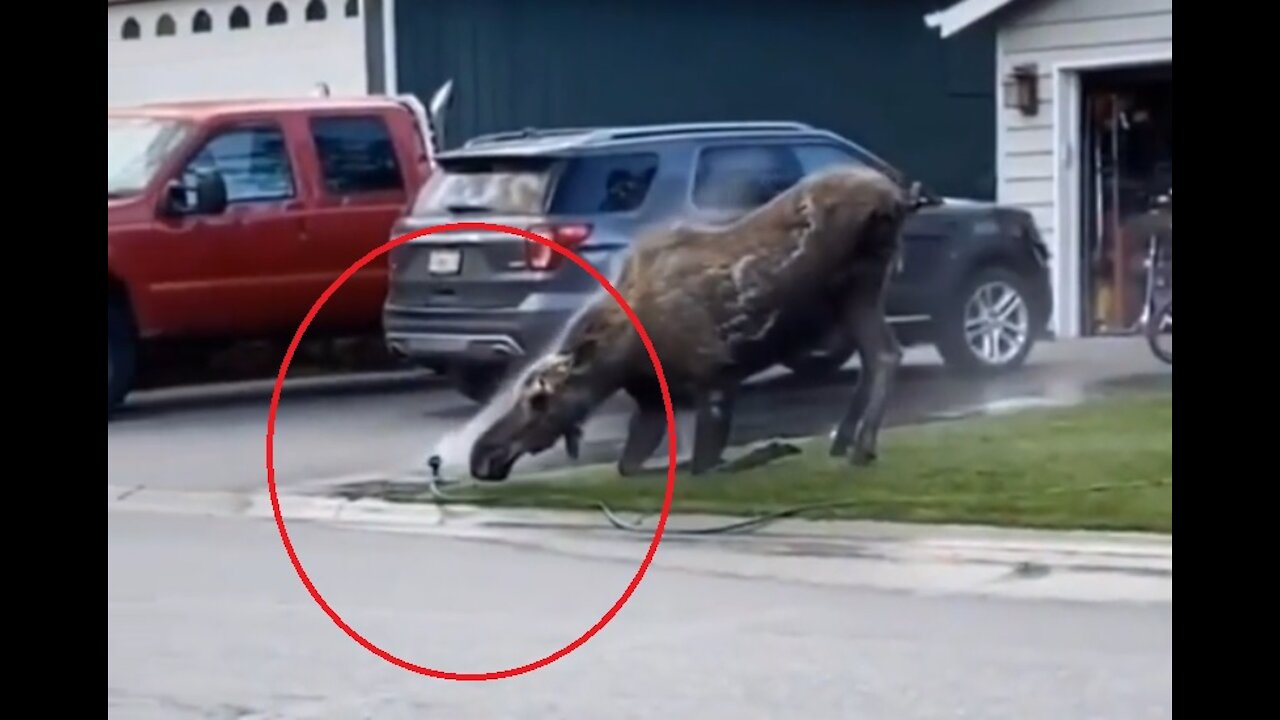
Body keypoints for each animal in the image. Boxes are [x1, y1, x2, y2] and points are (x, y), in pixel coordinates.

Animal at [471, 162, 931, 476]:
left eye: (540, 399)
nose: (482, 454)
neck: (623, 357)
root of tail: (899, 196)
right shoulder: (654, 404)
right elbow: (632, 466)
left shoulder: (716, 376)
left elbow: (702, 464)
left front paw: (771, 450)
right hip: (854, 297)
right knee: (878, 356)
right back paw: (843, 440)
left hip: (859, 288)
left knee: (884, 355)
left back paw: (860, 447)